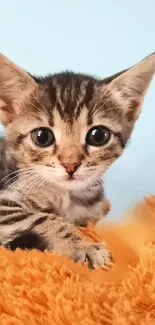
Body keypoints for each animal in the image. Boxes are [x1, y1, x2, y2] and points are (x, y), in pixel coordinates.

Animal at [0, 52, 154, 268]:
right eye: (42, 137)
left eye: (98, 136)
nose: (70, 165)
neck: (68, 197)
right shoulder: (6, 202)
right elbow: (43, 218)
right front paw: (85, 247)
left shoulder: (94, 213)